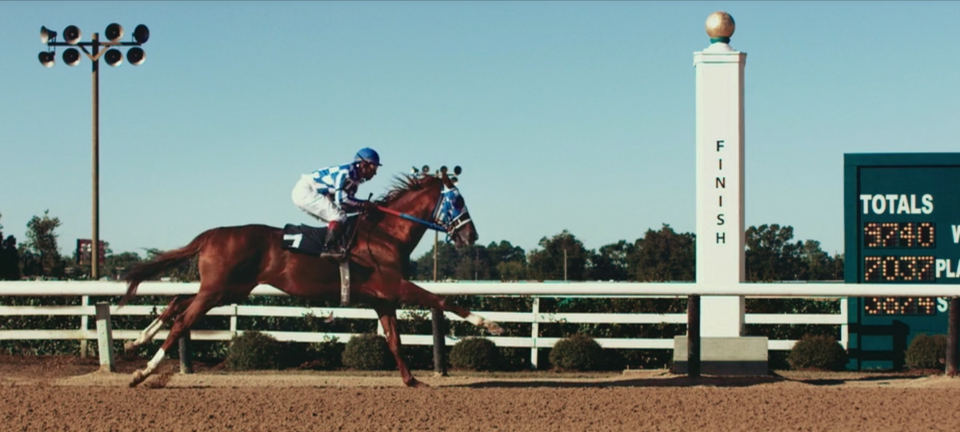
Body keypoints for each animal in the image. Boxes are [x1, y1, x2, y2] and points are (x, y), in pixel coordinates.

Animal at [119, 167, 502, 386]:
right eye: (458, 201)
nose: (471, 235)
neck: (386, 234)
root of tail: (212, 234)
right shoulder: (396, 286)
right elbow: (442, 299)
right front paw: (491, 325)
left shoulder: (383, 300)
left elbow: (394, 340)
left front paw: (411, 380)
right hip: (219, 290)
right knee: (183, 321)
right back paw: (142, 372)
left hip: (229, 289)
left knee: (176, 301)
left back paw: (135, 341)